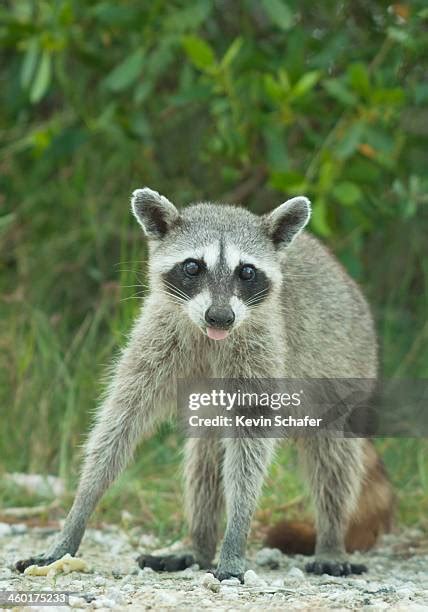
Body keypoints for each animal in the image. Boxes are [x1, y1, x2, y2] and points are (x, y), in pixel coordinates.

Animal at [15, 189, 392, 580]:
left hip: (345, 362)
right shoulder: (157, 339)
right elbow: (119, 426)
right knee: (205, 460)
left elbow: (250, 448)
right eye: (193, 266)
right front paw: (76, 516)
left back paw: (331, 539)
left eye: (247, 271)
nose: (221, 317)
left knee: (332, 458)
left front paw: (236, 536)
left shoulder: (261, 351)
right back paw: (199, 543)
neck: (209, 335)